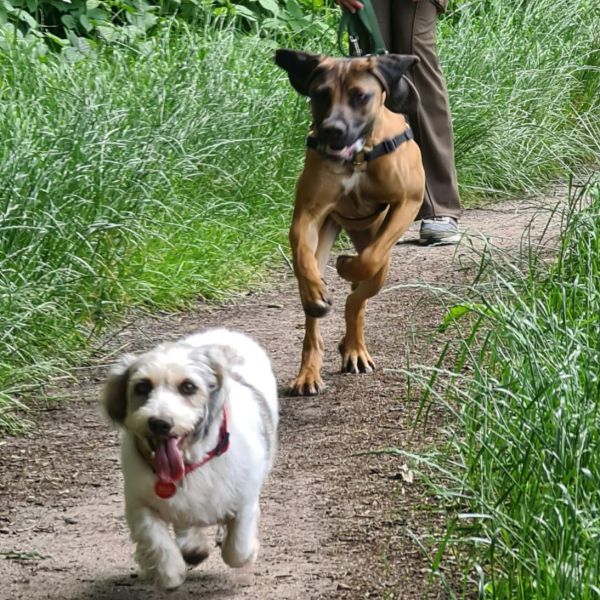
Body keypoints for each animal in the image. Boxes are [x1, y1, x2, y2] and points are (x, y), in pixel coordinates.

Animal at [103, 326, 278, 588]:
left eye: (188, 387)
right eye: (142, 387)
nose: (159, 423)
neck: (190, 464)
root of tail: (223, 332)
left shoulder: (245, 499)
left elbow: (236, 550)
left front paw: (247, 550)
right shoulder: (139, 501)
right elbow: (156, 538)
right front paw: (170, 571)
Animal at [274, 49, 424, 396]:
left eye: (360, 96)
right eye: (320, 94)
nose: (332, 129)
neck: (357, 157)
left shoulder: (409, 202)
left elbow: (368, 261)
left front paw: (346, 265)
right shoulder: (307, 213)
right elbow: (301, 249)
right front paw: (315, 290)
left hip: (381, 260)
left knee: (358, 297)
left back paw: (354, 348)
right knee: (315, 320)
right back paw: (309, 372)